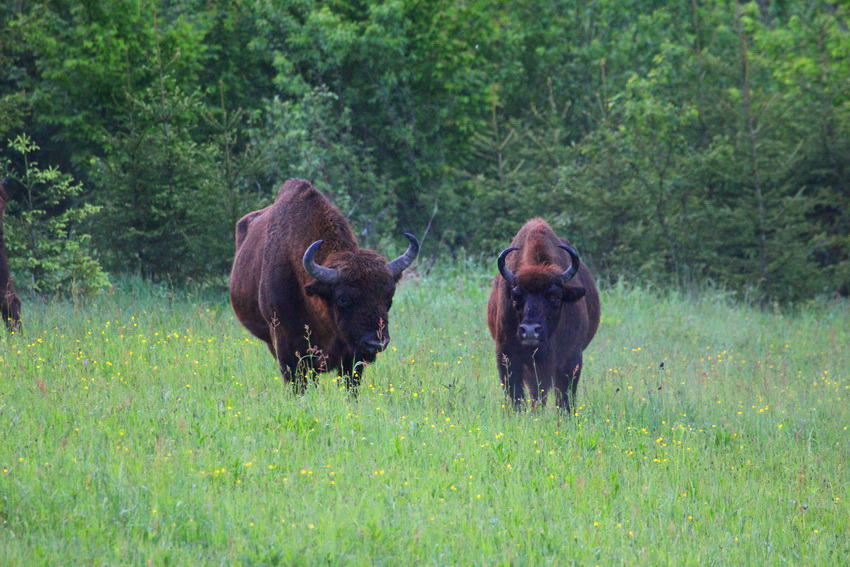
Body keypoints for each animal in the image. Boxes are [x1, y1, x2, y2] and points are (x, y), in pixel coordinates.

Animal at [486, 219, 600, 412]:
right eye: (516, 296)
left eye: (556, 296)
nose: (530, 331)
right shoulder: (507, 355)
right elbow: (516, 395)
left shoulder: (571, 358)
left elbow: (564, 397)